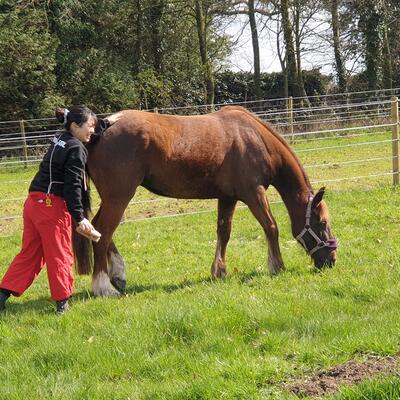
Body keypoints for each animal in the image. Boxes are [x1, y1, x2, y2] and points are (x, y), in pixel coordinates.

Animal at [73, 106, 337, 297]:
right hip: (119, 196)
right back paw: (103, 286)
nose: (332, 260)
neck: (254, 138)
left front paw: (219, 271)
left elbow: (224, 232)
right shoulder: (254, 193)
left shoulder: (228, 198)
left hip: (114, 198)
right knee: (103, 231)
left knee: (98, 230)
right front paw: (277, 266)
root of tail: (100, 130)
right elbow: (271, 226)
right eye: (322, 223)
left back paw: (118, 274)